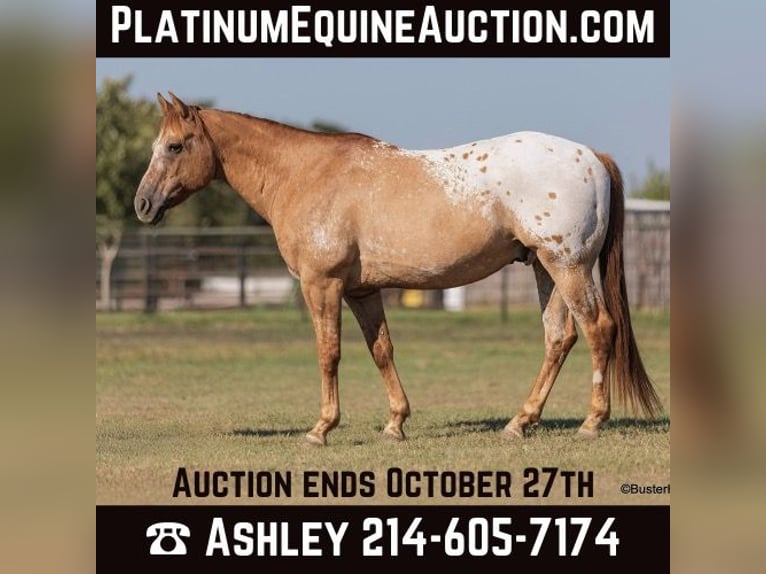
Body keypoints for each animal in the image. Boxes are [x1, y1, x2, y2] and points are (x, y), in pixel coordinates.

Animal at [135, 92, 662, 446]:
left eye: (175, 146)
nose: (143, 204)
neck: (305, 174)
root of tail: (592, 156)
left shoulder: (322, 285)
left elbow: (329, 353)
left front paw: (321, 428)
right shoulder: (362, 291)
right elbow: (381, 350)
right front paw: (395, 423)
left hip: (568, 266)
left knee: (598, 329)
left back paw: (591, 422)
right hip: (544, 270)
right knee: (559, 338)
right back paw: (520, 422)